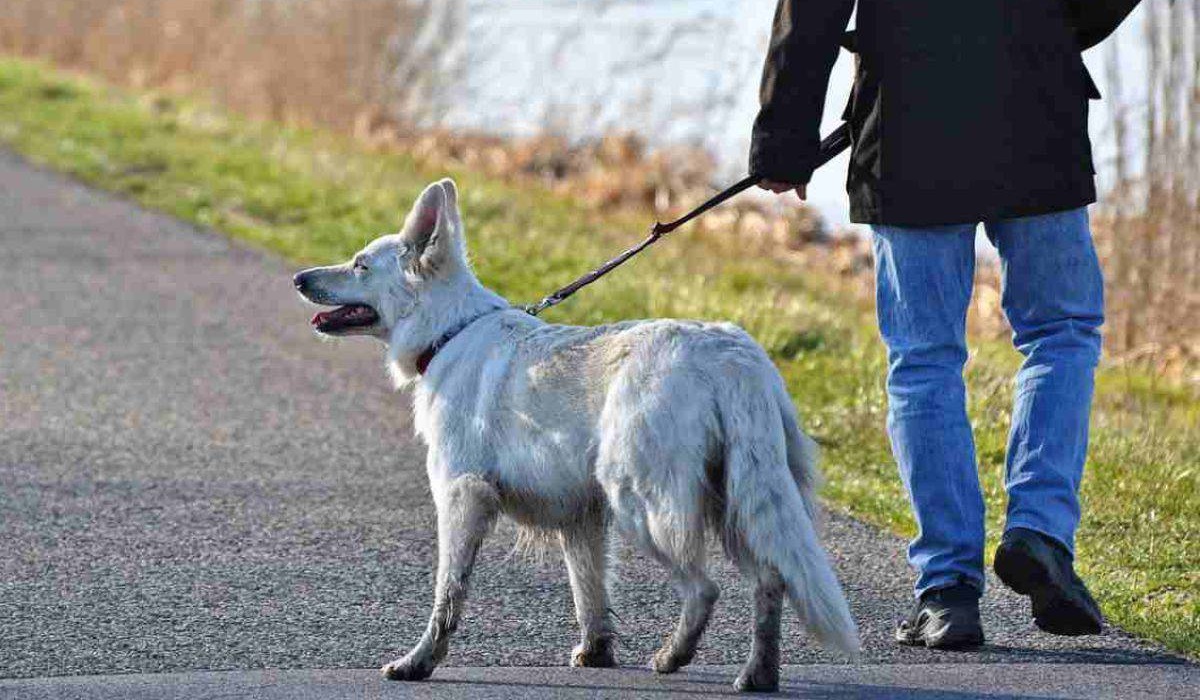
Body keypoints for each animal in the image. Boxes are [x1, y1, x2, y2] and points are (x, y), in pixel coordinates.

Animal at [291, 177, 859, 691]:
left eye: (361, 264)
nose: (298, 278)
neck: (448, 332)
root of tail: (730, 354)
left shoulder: (461, 498)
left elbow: (447, 595)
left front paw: (419, 662)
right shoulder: (581, 518)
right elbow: (589, 593)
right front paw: (597, 653)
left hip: (643, 504)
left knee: (705, 589)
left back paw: (673, 657)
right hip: (738, 500)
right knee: (770, 579)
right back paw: (757, 674)